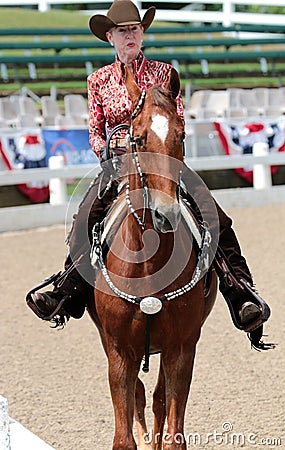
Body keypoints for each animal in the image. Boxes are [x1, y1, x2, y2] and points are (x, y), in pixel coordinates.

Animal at [87, 67, 216, 450]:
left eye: (182, 134)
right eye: (139, 138)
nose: (164, 214)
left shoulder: (182, 348)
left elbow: (174, 432)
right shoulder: (118, 351)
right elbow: (125, 430)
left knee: (158, 397)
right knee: (142, 396)